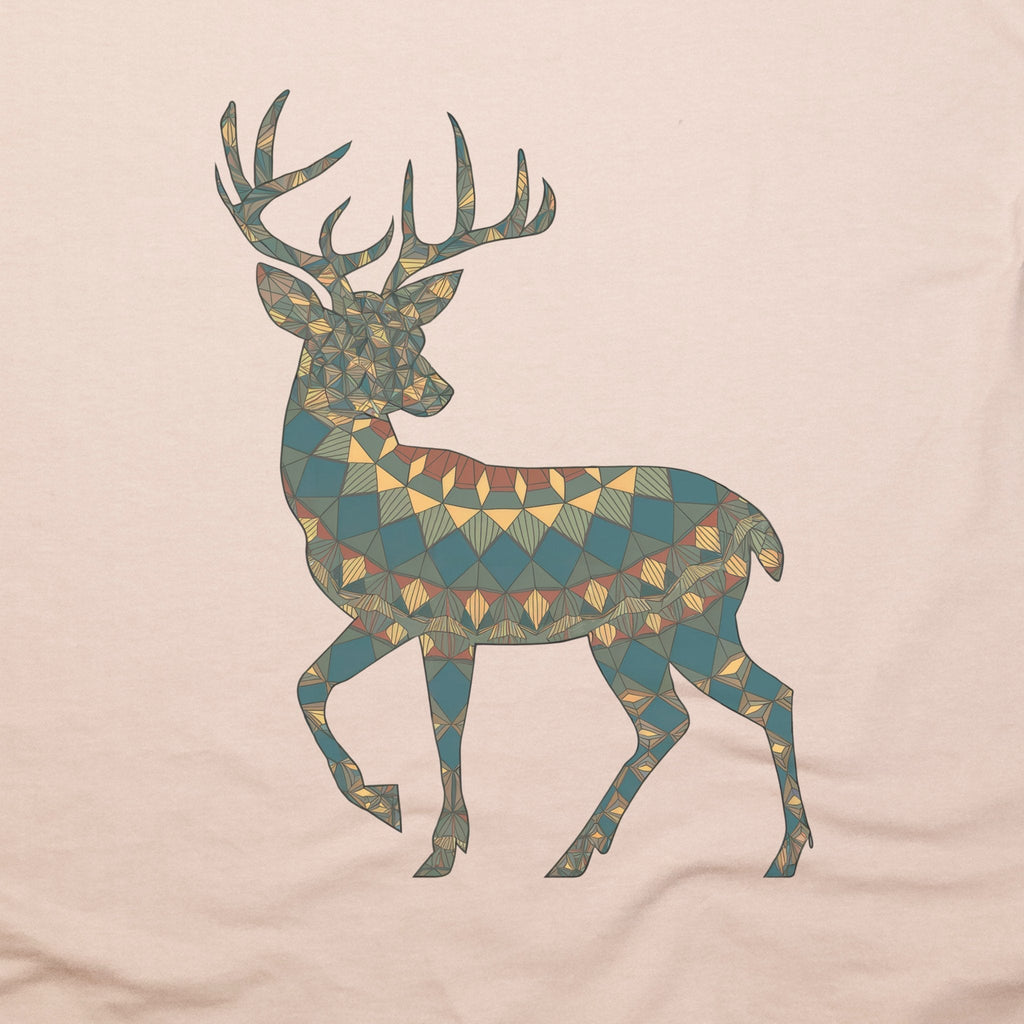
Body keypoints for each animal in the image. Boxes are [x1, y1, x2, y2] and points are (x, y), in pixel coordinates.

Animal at [216, 92, 812, 878]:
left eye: (418, 334)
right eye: (359, 340)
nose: (440, 391)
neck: (350, 504)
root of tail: (755, 522)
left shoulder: (444, 617)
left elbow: (445, 729)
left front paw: (441, 847)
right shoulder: (386, 615)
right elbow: (307, 684)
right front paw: (383, 802)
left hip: (661, 618)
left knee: (692, 713)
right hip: (677, 623)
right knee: (728, 705)